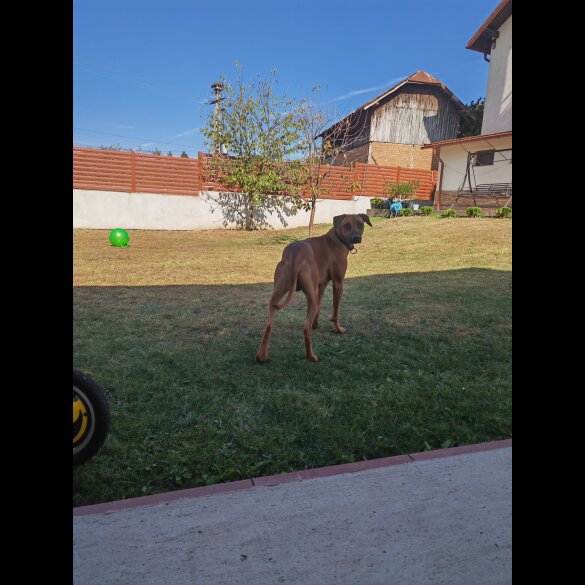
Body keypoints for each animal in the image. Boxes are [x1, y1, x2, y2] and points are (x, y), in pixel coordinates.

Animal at [254, 212, 370, 362]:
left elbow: (319, 307)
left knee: (268, 325)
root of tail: (295, 254)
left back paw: (261, 356)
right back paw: (311, 356)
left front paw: (316, 323)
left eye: (360, 224)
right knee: (305, 329)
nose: (356, 237)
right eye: (347, 226)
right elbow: (335, 312)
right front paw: (338, 329)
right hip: (310, 295)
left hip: (281, 293)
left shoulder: (320, 286)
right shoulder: (338, 284)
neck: (337, 238)